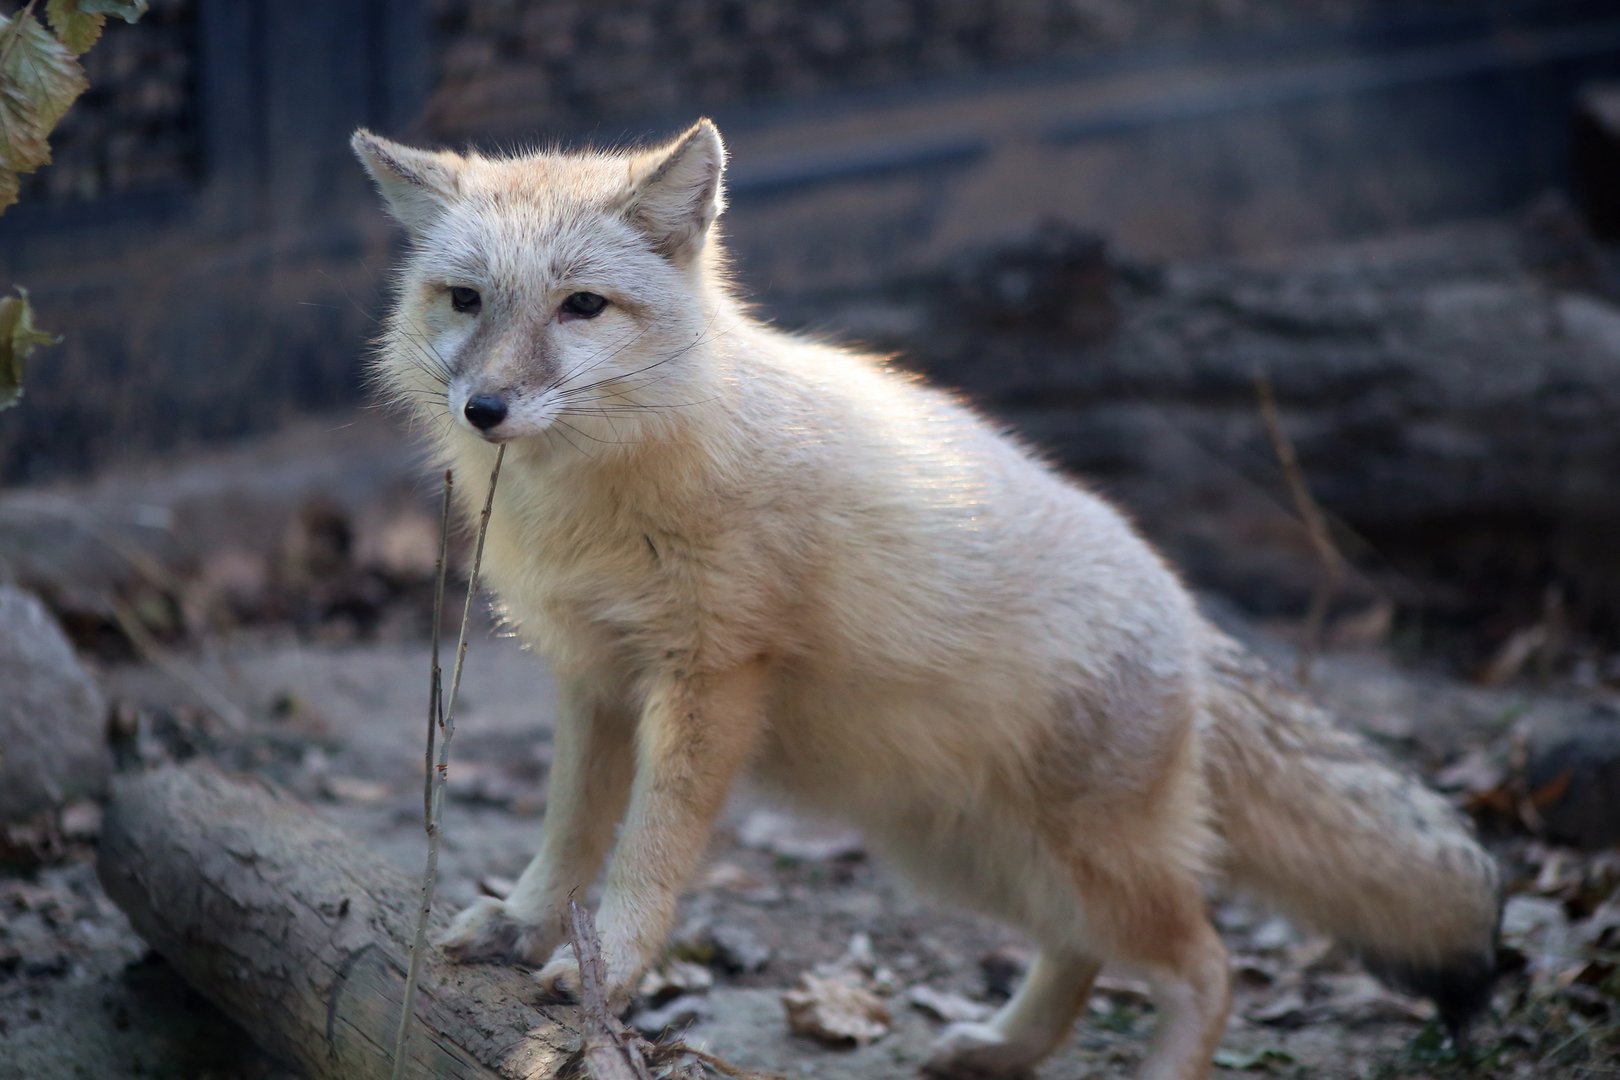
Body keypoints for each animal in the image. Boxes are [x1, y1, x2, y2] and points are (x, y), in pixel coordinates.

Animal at [351, 119, 1500, 1080]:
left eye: (580, 306)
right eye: (466, 300)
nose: (485, 407)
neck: (602, 505)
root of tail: (1187, 615)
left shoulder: (709, 677)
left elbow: (646, 852)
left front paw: (615, 970)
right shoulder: (594, 678)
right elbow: (569, 833)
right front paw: (524, 923)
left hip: (1086, 864)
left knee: (1207, 968)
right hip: (964, 856)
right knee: (1083, 954)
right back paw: (1001, 1046)